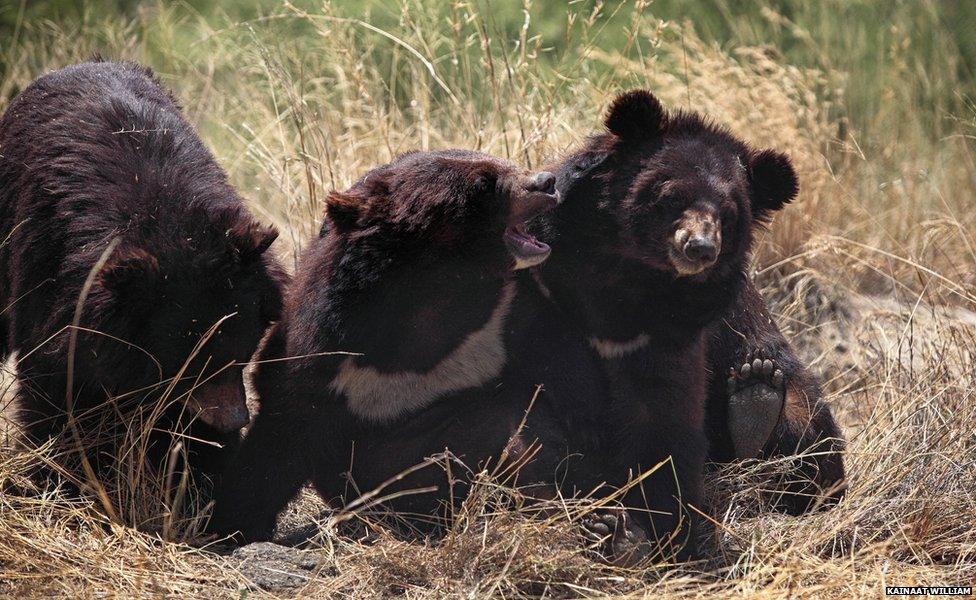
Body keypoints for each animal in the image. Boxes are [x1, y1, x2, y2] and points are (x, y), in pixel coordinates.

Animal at [211, 150, 620, 544]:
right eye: (484, 183)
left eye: (499, 162)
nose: (547, 182)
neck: (431, 288)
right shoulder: (323, 357)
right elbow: (279, 436)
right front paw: (231, 527)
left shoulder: (498, 313)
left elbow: (554, 351)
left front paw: (591, 430)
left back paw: (606, 526)